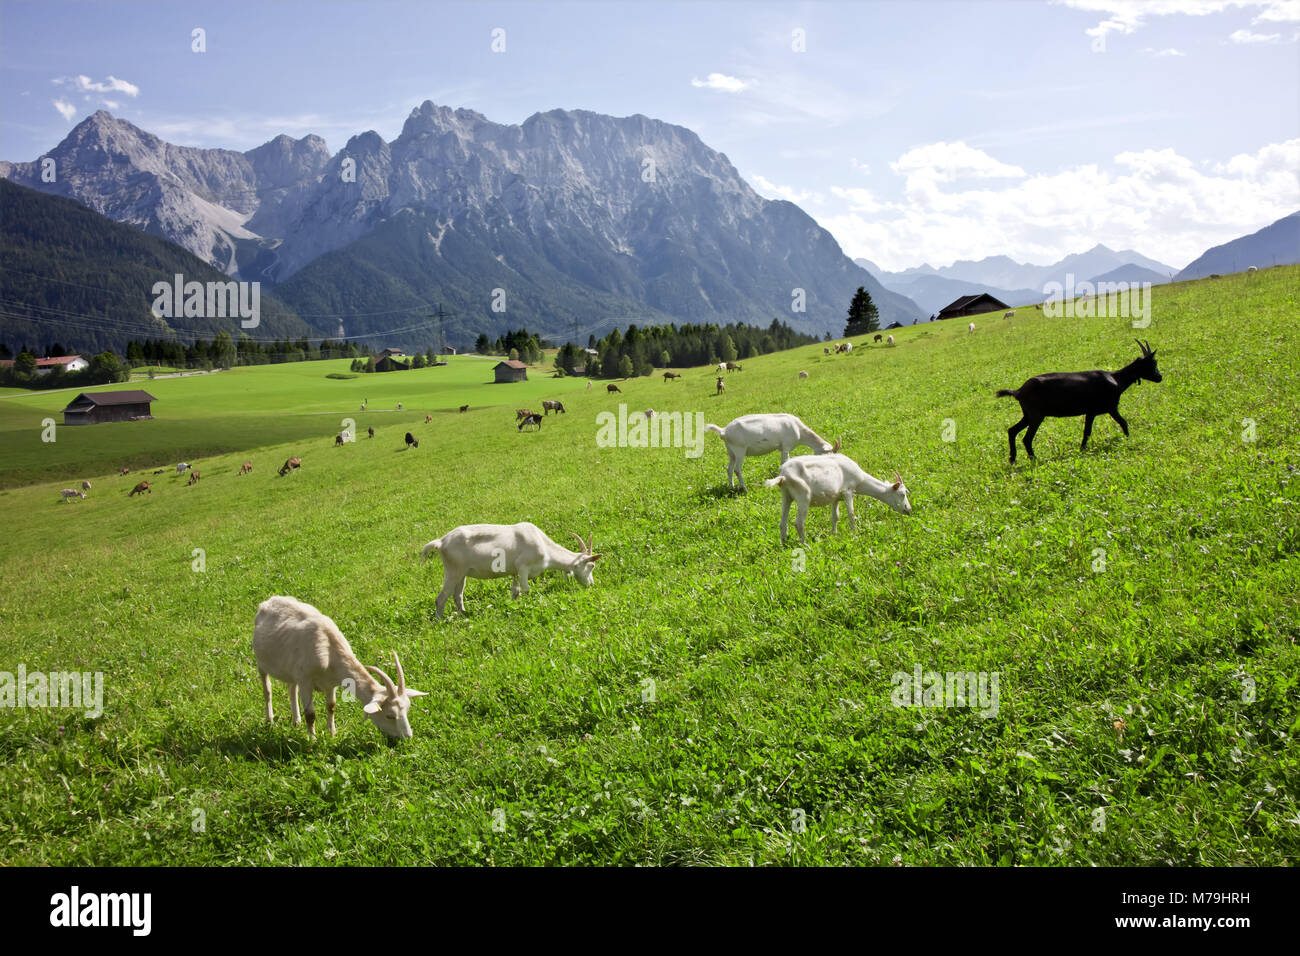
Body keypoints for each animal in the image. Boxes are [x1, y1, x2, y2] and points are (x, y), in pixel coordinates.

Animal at [245, 598, 423, 738]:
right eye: (390, 715)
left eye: (407, 709)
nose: (408, 737)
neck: (328, 647)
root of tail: (267, 602)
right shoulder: (305, 681)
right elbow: (311, 714)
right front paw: (312, 739)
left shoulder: (330, 683)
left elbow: (331, 706)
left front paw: (332, 733)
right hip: (261, 663)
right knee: (267, 690)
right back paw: (270, 719)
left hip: (291, 671)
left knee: (291, 689)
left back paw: (296, 721)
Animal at [418, 522, 600, 621]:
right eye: (591, 566)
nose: (591, 584)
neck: (545, 548)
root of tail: (441, 542)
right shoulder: (523, 567)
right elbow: (526, 590)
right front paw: (528, 607)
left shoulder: (515, 572)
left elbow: (515, 592)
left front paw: (513, 608)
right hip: (453, 570)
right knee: (441, 598)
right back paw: (440, 622)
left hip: (461, 573)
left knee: (458, 595)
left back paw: (464, 614)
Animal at [707, 413, 837, 494]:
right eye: (827, 454)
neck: (799, 430)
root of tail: (723, 431)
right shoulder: (786, 446)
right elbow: (784, 461)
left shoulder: (783, 448)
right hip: (740, 450)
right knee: (737, 470)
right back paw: (744, 489)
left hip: (731, 452)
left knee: (729, 469)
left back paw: (732, 487)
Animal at [759, 450, 915, 541]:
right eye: (902, 494)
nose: (908, 510)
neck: (860, 479)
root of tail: (783, 476)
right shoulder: (848, 491)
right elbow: (851, 514)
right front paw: (854, 534)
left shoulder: (835, 497)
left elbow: (835, 517)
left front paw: (834, 534)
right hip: (803, 496)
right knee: (798, 523)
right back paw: (805, 545)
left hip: (786, 496)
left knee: (782, 523)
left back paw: (784, 544)